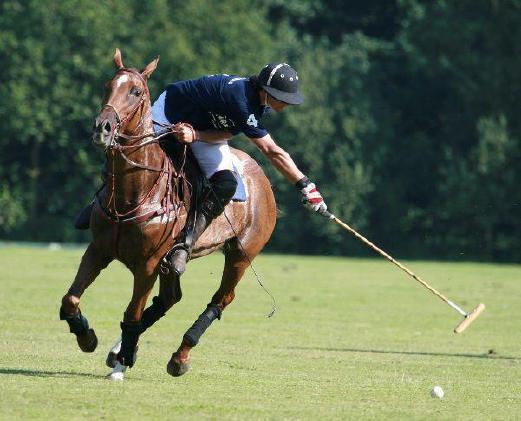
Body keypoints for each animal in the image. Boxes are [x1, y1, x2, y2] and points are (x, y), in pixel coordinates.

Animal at [59, 48, 278, 378]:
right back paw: (121, 351)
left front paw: (122, 361)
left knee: (221, 298)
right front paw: (87, 337)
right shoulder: (98, 249)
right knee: (170, 297)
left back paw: (178, 356)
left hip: (242, 253)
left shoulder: (147, 264)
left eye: (136, 92)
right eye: (107, 86)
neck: (133, 194)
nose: (102, 128)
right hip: (170, 263)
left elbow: (132, 314)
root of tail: (261, 177)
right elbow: (70, 298)